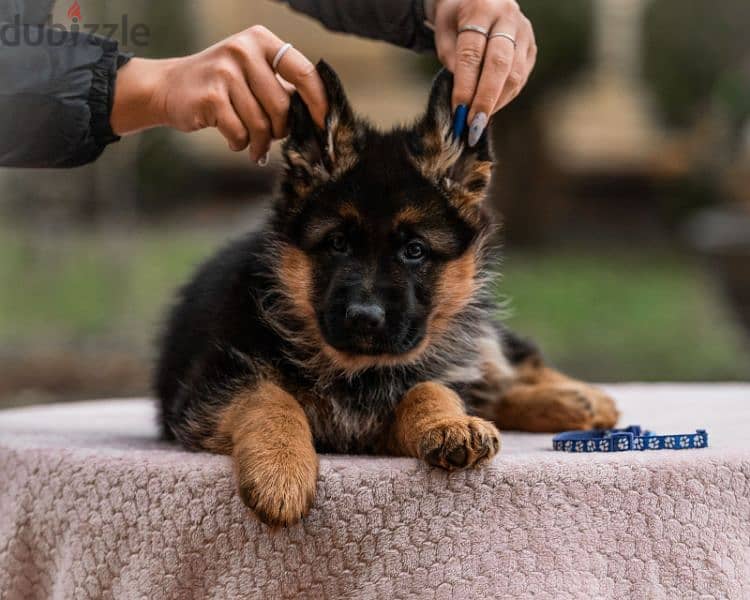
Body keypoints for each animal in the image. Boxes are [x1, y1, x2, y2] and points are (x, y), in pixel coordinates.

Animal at [156, 63, 620, 528]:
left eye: (414, 250)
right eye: (337, 243)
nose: (364, 317)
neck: (357, 370)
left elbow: (430, 388)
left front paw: (448, 425)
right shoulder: (207, 390)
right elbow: (268, 396)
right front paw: (279, 468)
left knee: (504, 364)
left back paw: (578, 398)